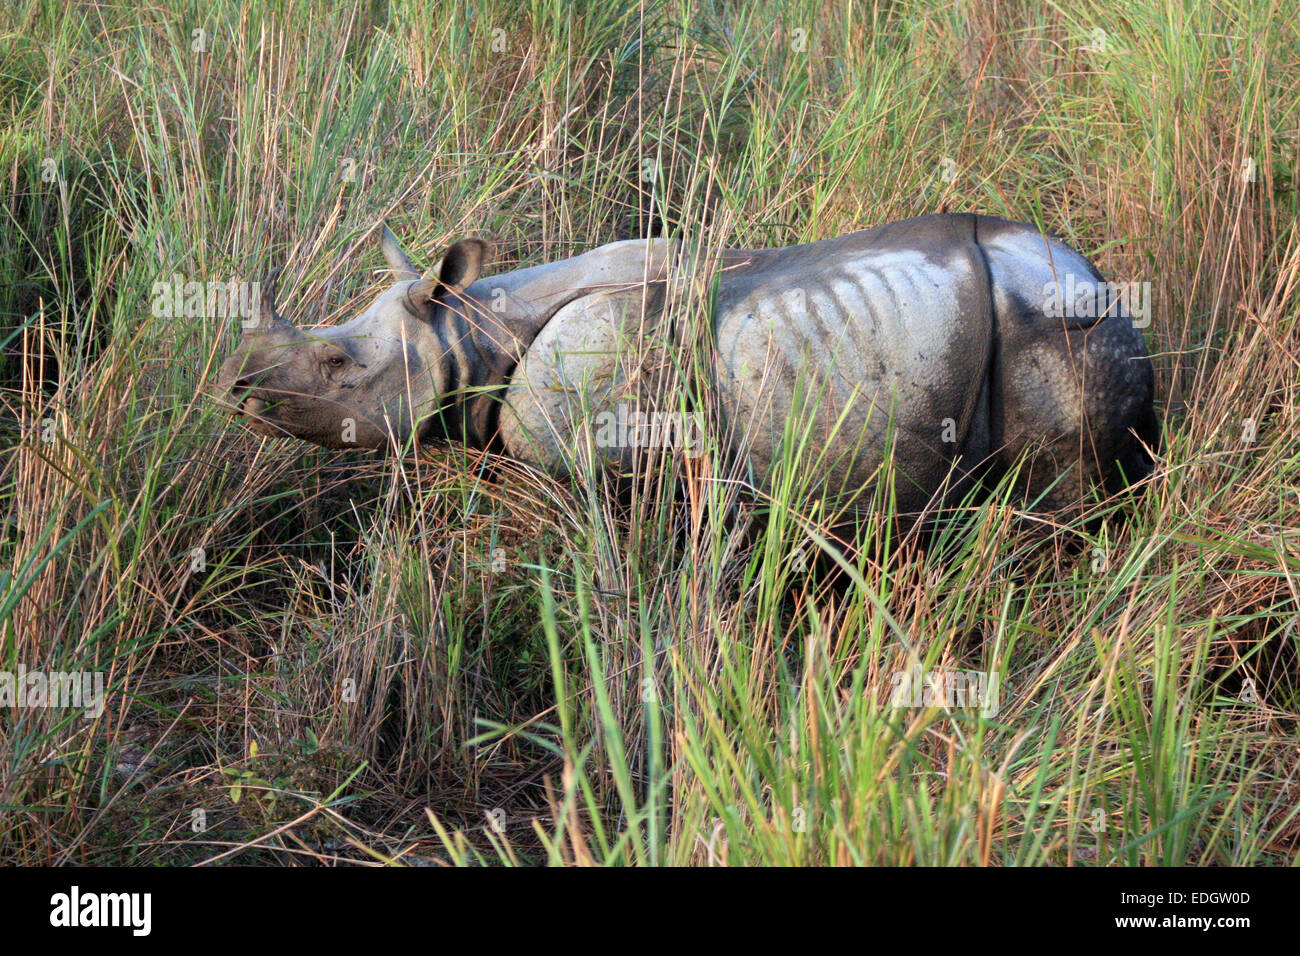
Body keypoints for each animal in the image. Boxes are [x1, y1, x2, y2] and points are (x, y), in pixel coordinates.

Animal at [216, 214, 1157, 516]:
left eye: (335, 362)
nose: (238, 393)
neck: (476, 328)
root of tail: (1094, 277)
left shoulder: (611, 468)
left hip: (1055, 329)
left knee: (1058, 507)